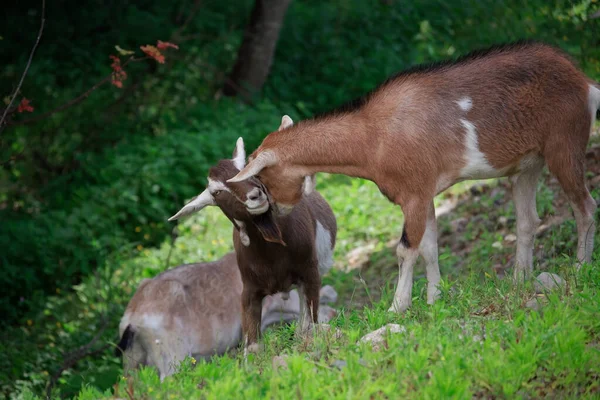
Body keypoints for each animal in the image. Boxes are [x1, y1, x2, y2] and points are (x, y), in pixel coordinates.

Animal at [170, 134, 338, 346]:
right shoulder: (249, 291)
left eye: (243, 171)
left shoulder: (309, 274)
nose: (256, 196)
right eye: (217, 192)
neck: (273, 255)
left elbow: (308, 327)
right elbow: (252, 346)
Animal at [227, 42, 596, 314]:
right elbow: (430, 247)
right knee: (528, 221)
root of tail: (586, 84)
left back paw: (581, 268)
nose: (280, 212)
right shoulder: (426, 193)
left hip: (564, 144)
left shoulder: (414, 194)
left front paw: (398, 307)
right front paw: (435, 299)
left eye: (262, 181)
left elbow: (406, 249)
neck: (373, 137)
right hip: (526, 166)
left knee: (585, 207)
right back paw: (520, 280)